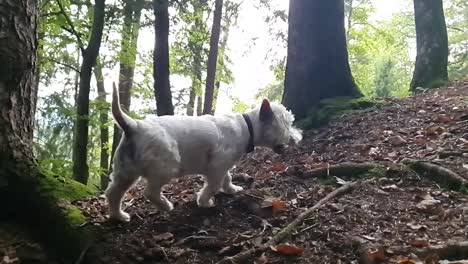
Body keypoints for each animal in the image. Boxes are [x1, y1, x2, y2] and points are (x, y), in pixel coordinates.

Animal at [105, 84, 304, 221]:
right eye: (287, 123)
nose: (299, 137)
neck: (247, 127)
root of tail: (134, 126)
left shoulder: (224, 166)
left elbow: (227, 178)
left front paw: (232, 189)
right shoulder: (216, 166)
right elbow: (214, 185)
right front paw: (205, 202)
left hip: (125, 172)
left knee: (113, 193)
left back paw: (119, 216)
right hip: (165, 167)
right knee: (150, 192)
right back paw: (166, 206)